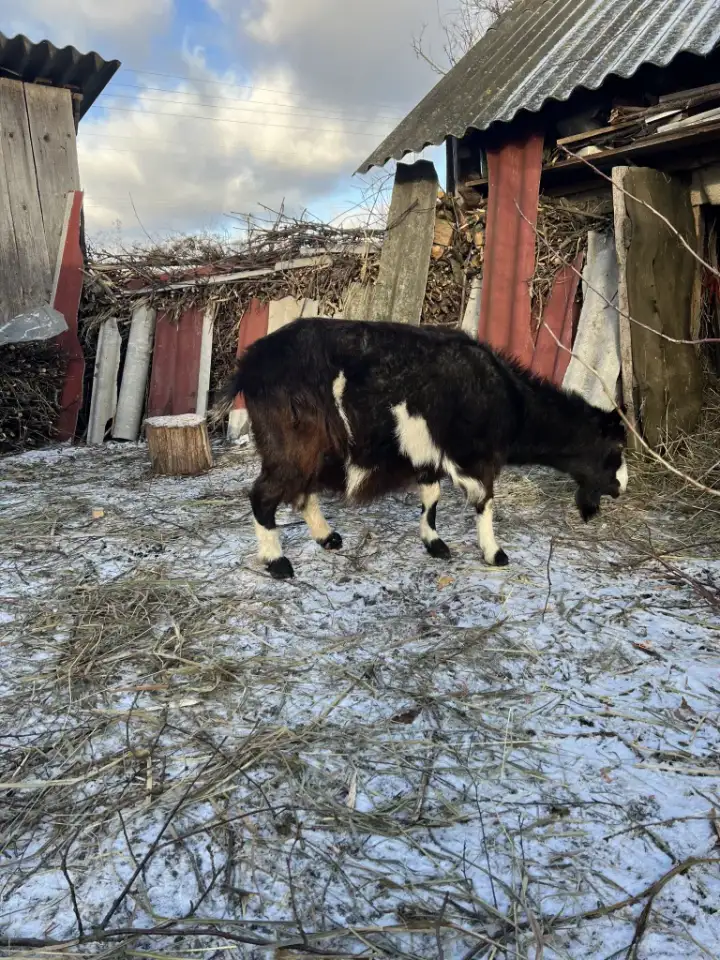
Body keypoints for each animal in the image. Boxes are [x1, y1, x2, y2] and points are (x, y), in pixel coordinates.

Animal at [217, 317, 628, 579]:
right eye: (614, 449)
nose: (621, 487)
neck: (510, 401)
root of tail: (249, 366)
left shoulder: (430, 456)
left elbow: (431, 498)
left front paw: (435, 543)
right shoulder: (474, 459)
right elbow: (485, 504)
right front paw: (495, 554)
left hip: (310, 450)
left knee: (301, 491)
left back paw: (327, 538)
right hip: (292, 444)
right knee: (264, 495)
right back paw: (277, 562)